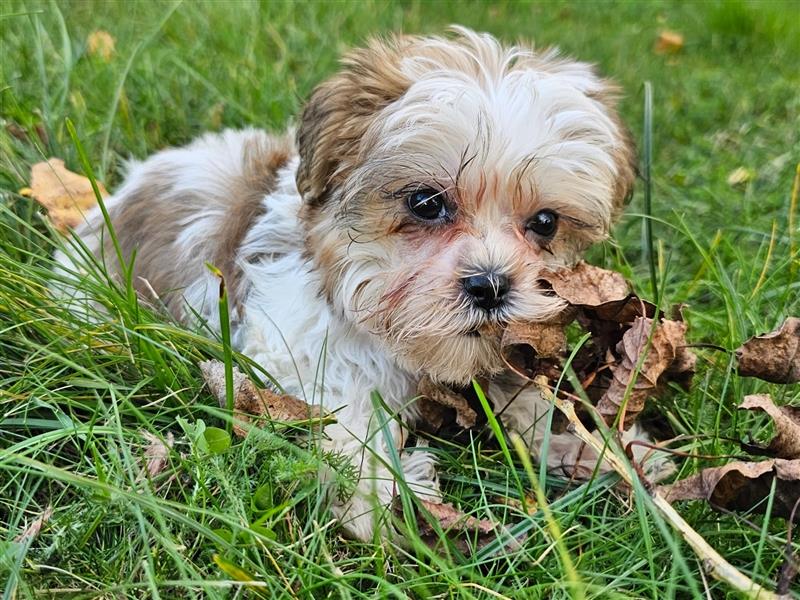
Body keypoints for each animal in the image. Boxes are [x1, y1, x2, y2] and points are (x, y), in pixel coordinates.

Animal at [56, 25, 668, 540]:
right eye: (426, 203)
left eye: (545, 222)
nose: (491, 285)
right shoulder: (294, 345)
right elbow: (339, 411)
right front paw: (380, 493)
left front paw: (599, 449)